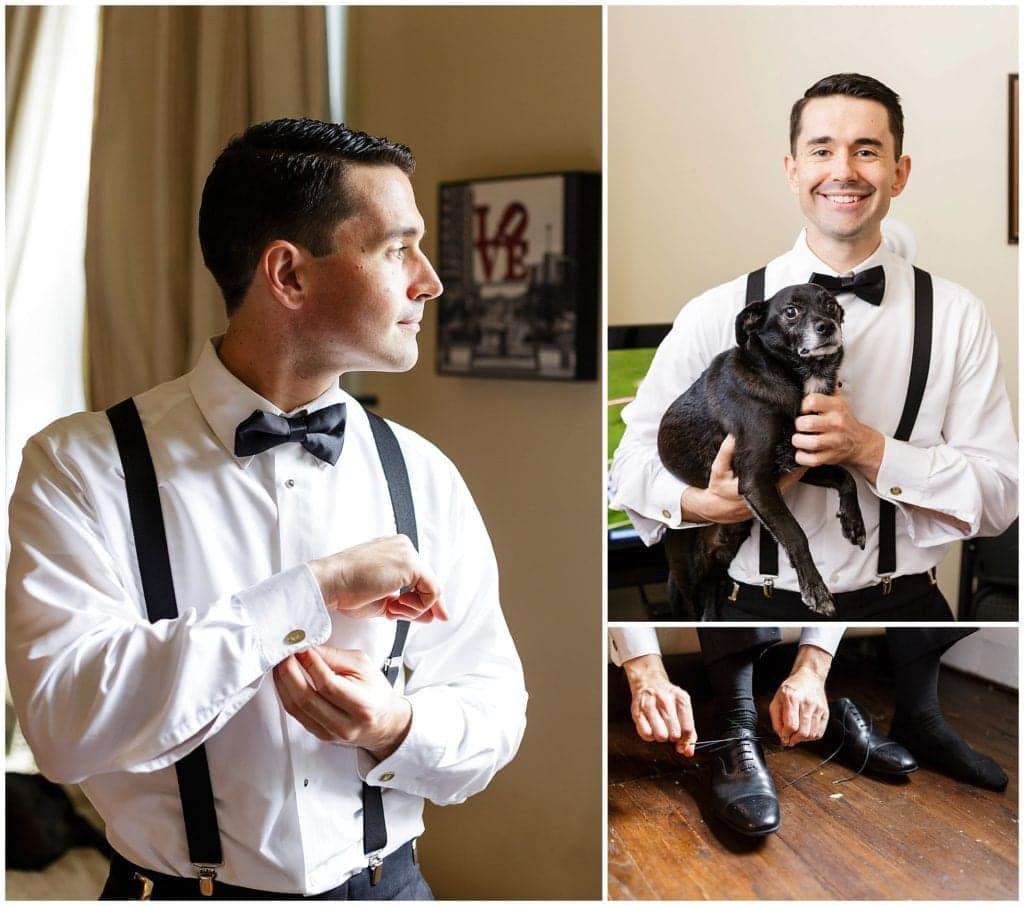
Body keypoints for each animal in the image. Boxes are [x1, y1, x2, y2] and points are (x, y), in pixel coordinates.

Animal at [655, 286, 864, 618]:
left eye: (831, 305)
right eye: (791, 311)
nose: (827, 326)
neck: (792, 376)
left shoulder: (799, 464)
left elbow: (846, 477)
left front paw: (853, 521)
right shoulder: (756, 482)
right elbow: (795, 533)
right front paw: (816, 590)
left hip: (720, 563)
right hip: (686, 578)